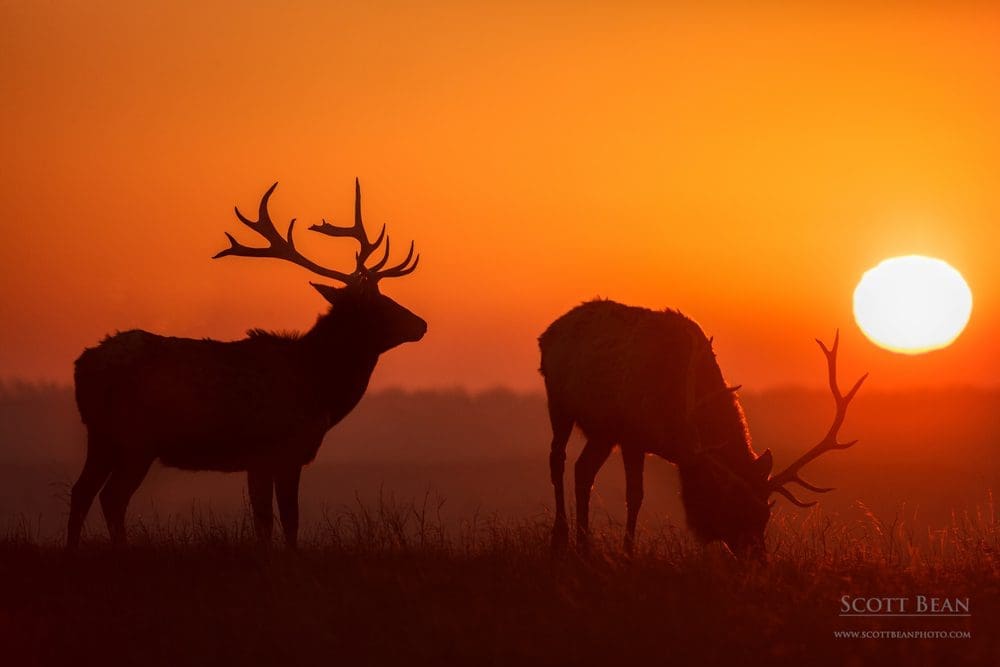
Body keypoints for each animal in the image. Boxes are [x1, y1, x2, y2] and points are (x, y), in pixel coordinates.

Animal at [70, 179, 426, 548]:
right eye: (377, 303)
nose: (421, 324)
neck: (318, 386)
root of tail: (82, 366)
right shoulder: (281, 450)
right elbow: (287, 521)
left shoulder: (259, 461)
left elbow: (263, 522)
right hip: (136, 438)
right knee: (112, 496)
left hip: (101, 434)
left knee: (81, 492)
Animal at [540, 300, 868, 556]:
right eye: (733, 509)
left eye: (766, 514)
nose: (758, 560)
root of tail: (547, 333)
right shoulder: (633, 436)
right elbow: (635, 496)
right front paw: (627, 553)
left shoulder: (624, 435)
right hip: (559, 403)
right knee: (558, 459)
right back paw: (560, 539)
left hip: (602, 432)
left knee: (583, 470)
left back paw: (583, 544)